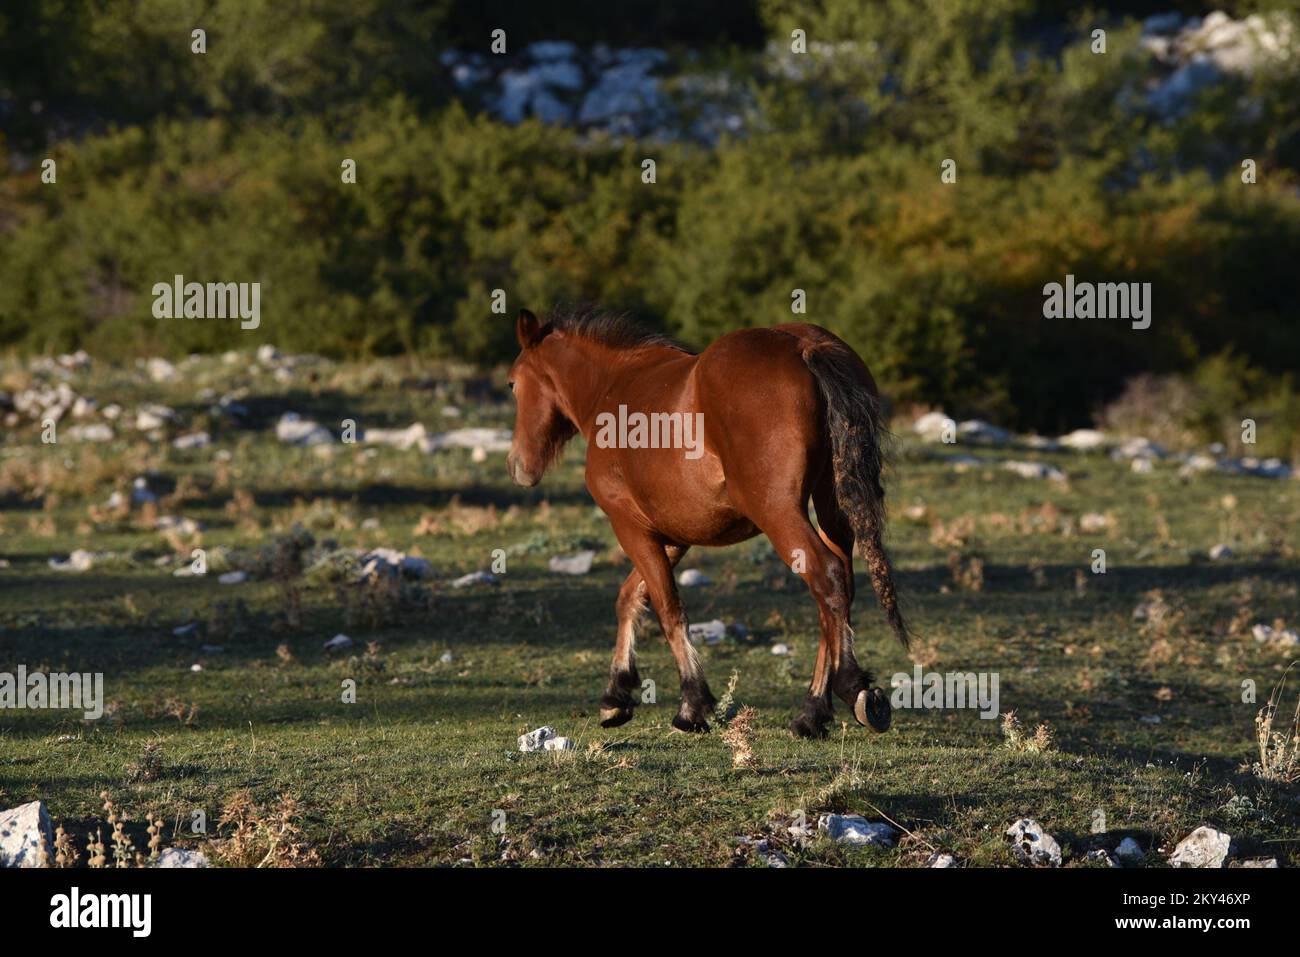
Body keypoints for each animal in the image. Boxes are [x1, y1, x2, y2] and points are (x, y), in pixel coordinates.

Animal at [501, 306, 909, 738]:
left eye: (512, 384)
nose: (518, 466)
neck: (613, 387)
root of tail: (805, 347)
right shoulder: (673, 535)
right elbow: (631, 597)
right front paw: (617, 694)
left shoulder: (630, 526)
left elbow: (668, 608)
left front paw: (692, 706)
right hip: (832, 508)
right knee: (835, 592)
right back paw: (817, 709)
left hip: (779, 512)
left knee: (826, 578)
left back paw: (839, 697)